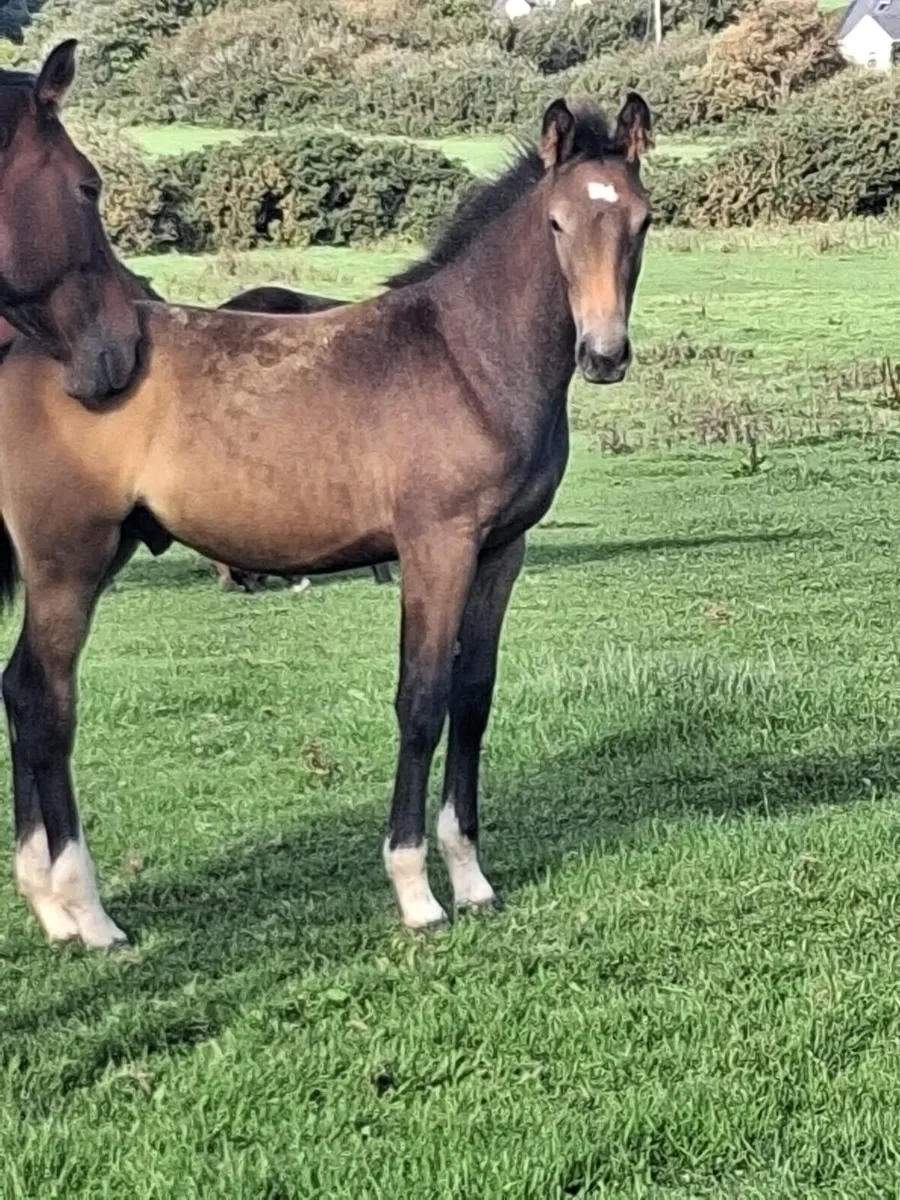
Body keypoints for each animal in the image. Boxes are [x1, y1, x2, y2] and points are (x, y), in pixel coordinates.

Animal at [0, 41, 652, 948]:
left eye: (643, 221)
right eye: (557, 224)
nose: (604, 354)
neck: (467, 357)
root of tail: (33, 348)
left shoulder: (500, 551)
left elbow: (473, 698)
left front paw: (473, 879)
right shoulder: (436, 545)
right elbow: (422, 699)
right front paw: (417, 892)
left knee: (19, 688)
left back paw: (50, 909)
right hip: (68, 555)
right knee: (43, 697)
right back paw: (87, 914)